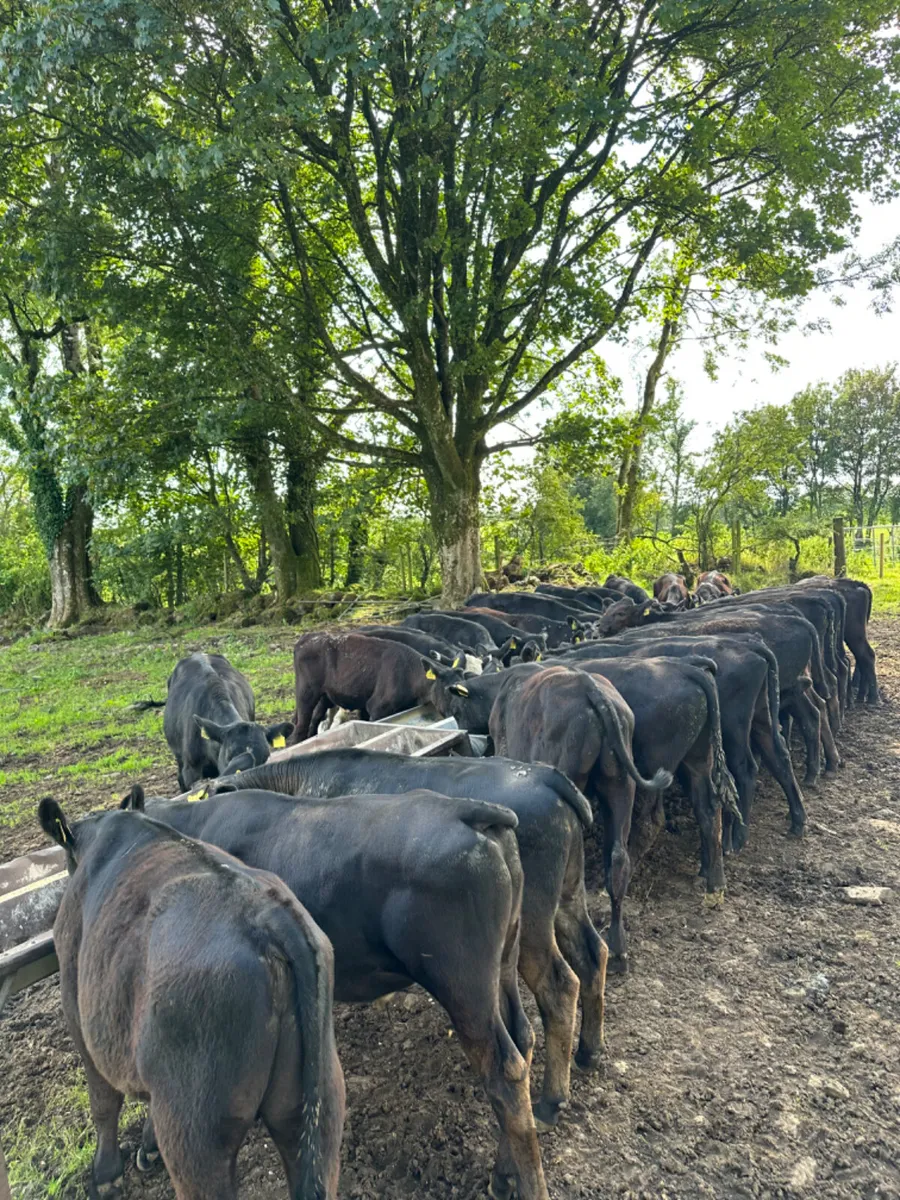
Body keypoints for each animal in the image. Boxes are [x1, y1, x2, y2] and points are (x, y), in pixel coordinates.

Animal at [39, 790, 344, 1200]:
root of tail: (267, 915)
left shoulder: (79, 1014)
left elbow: (103, 1101)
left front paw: (105, 1174)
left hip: (196, 1134)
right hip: (318, 1105)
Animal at [142, 787, 548, 1200]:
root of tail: (465, 809)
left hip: (464, 988)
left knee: (504, 1073)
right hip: (503, 966)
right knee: (523, 1041)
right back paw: (504, 1175)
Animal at [207, 749, 607, 1127]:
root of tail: (544, 775)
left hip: (532, 925)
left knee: (559, 986)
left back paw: (550, 1101)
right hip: (567, 896)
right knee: (593, 954)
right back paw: (588, 1052)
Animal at [289, 633, 467, 741]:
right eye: (447, 690)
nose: (458, 713)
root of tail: (308, 637)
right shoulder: (377, 707)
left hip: (325, 696)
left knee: (314, 721)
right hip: (306, 694)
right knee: (300, 727)